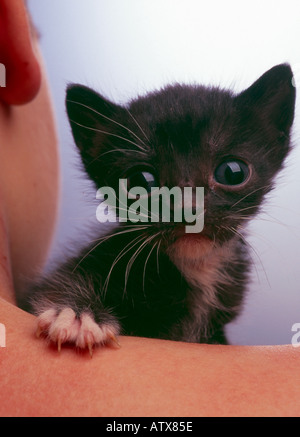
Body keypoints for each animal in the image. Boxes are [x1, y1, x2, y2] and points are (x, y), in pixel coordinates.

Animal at [25, 63, 296, 352]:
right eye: (141, 181)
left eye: (232, 172)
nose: (188, 209)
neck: (198, 268)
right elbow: (59, 283)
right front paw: (77, 315)